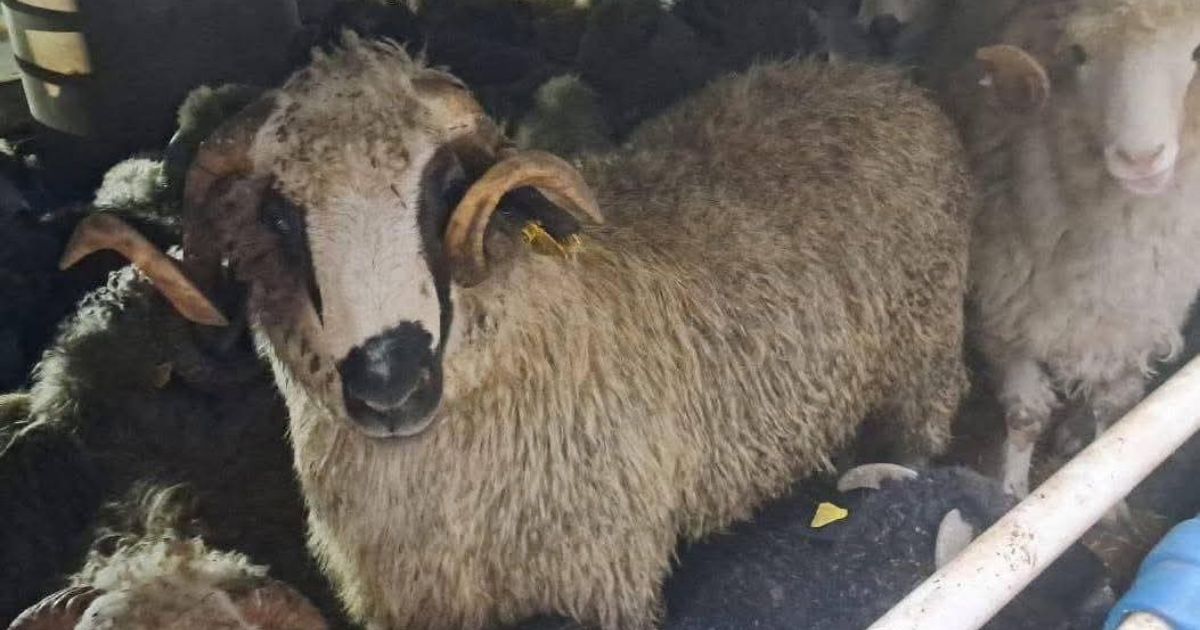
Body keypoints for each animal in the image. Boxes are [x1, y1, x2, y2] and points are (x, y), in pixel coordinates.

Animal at [64, 38, 972, 629]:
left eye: (442, 186)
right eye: (281, 217)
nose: (390, 382)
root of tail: (872, 77)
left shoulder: (607, 574)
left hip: (922, 362)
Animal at [944, 0, 1200, 496]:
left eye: (1197, 51)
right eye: (1078, 53)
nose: (1141, 159)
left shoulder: (1136, 326)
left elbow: (1115, 422)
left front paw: (1113, 497)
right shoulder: (1009, 319)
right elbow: (1026, 416)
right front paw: (1011, 492)